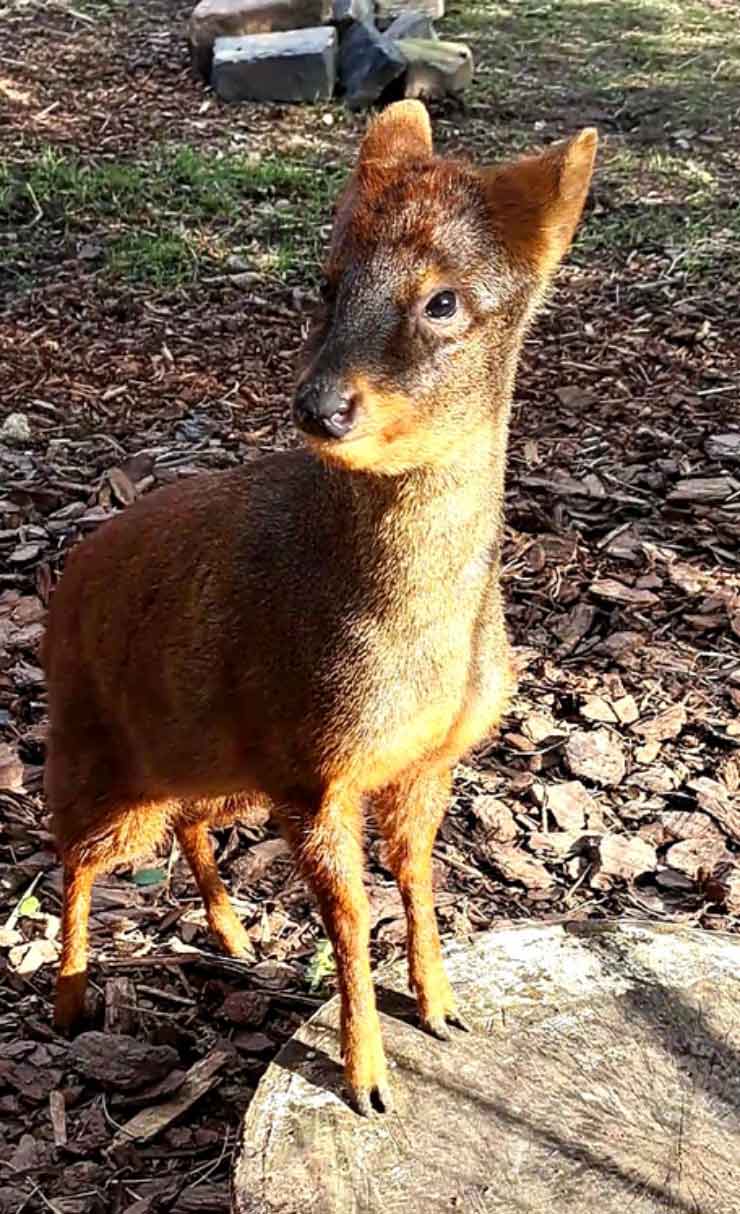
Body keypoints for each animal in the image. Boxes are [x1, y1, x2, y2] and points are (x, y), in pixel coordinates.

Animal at [43, 99, 594, 1112]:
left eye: (443, 300)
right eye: (328, 282)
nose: (321, 406)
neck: (419, 646)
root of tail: (66, 579)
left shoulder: (418, 762)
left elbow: (415, 877)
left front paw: (443, 1007)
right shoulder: (311, 770)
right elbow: (348, 916)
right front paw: (367, 1080)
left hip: (217, 767)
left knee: (184, 824)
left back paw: (230, 936)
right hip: (101, 758)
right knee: (72, 856)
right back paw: (68, 1002)